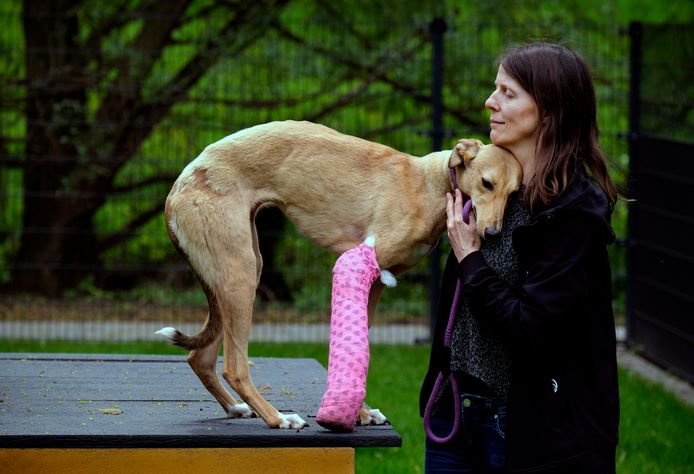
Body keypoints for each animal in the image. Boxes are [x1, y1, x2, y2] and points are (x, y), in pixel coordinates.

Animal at [155, 121, 520, 430]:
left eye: (514, 193)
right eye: (487, 183)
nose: (492, 234)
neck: (428, 184)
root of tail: (180, 186)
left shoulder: (375, 284)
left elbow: (360, 349)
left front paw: (360, 413)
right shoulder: (355, 262)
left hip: (239, 271)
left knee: (201, 357)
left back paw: (236, 409)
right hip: (239, 276)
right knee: (234, 367)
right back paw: (278, 418)